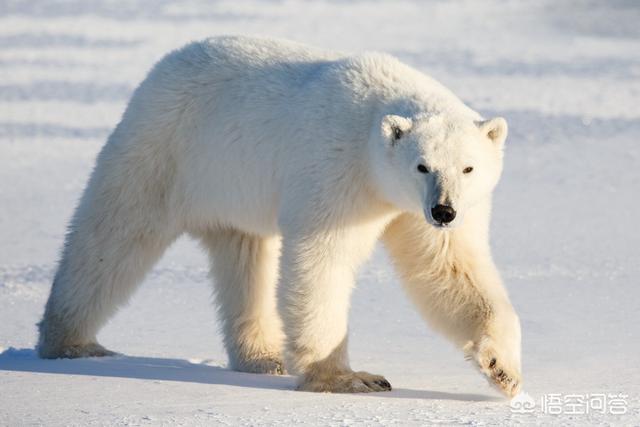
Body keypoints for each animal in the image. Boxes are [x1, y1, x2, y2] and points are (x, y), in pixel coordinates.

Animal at [37, 36, 524, 398]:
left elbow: (450, 269)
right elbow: (321, 261)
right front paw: (349, 378)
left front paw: (503, 370)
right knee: (114, 234)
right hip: (165, 147)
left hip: (232, 191)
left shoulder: (416, 209)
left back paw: (262, 357)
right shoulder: (336, 169)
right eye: (422, 165)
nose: (443, 210)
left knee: (245, 259)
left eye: (468, 167)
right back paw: (70, 341)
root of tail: (166, 63)